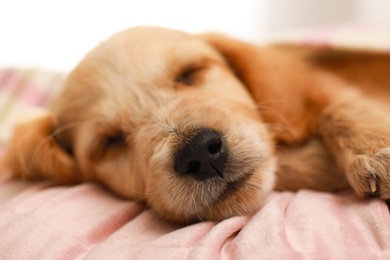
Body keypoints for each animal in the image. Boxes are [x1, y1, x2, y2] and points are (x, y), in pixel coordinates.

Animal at [3, 25, 390, 221]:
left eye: (189, 74)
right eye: (110, 142)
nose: (200, 154)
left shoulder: (323, 86)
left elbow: (338, 105)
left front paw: (374, 147)